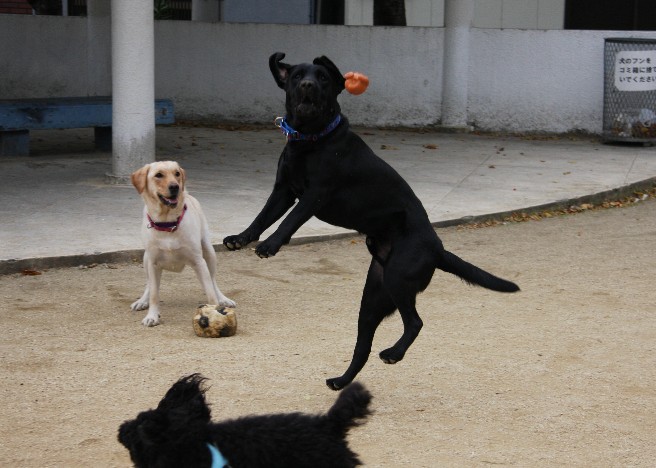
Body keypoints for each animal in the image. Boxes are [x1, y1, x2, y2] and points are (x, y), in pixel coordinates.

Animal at [223, 52, 520, 392]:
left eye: (323, 77)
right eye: (298, 76)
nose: (309, 85)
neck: (312, 139)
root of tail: (438, 248)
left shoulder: (315, 196)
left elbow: (289, 222)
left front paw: (270, 245)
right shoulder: (284, 190)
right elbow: (263, 216)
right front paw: (240, 238)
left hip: (397, 279)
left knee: (415, 322)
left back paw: (393, 353)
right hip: (373, 299)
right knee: (363, 347)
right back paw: (341, 381)